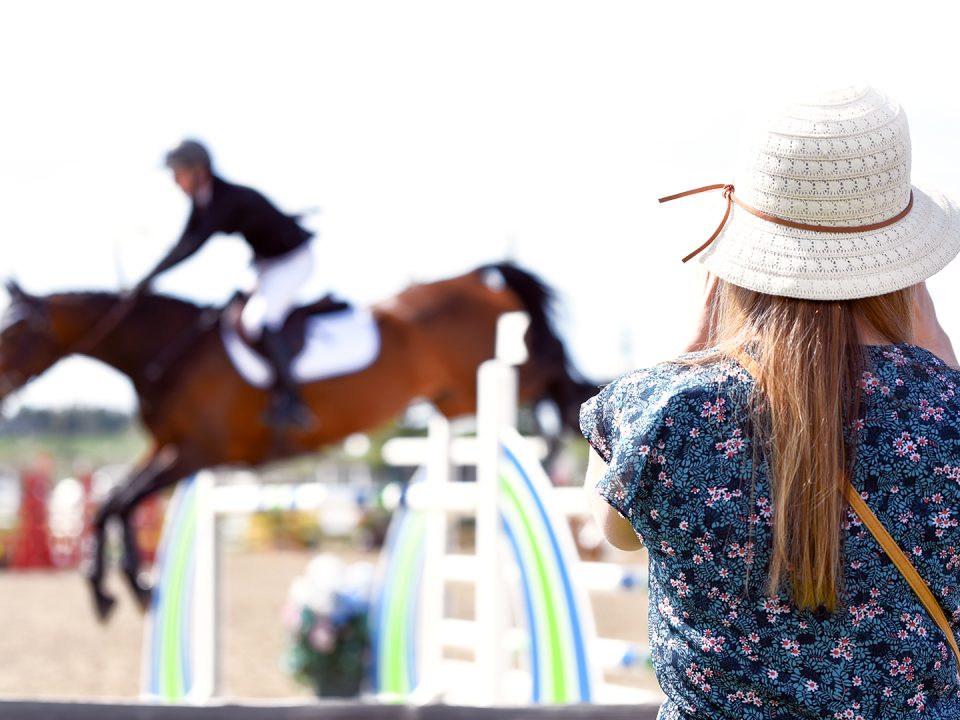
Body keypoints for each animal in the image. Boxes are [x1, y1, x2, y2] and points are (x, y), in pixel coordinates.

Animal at [0, 262, 597, 621]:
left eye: (16, 330)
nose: (2, 391)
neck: (168, 351)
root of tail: (474, 278)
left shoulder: (195, 452)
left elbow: (121, 502)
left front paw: (132, 587)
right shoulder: (168, 450)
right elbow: (110, 503)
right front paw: (115, 591)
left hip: (504, 372)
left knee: (555, 371)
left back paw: (571, 420)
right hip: (455, 398)